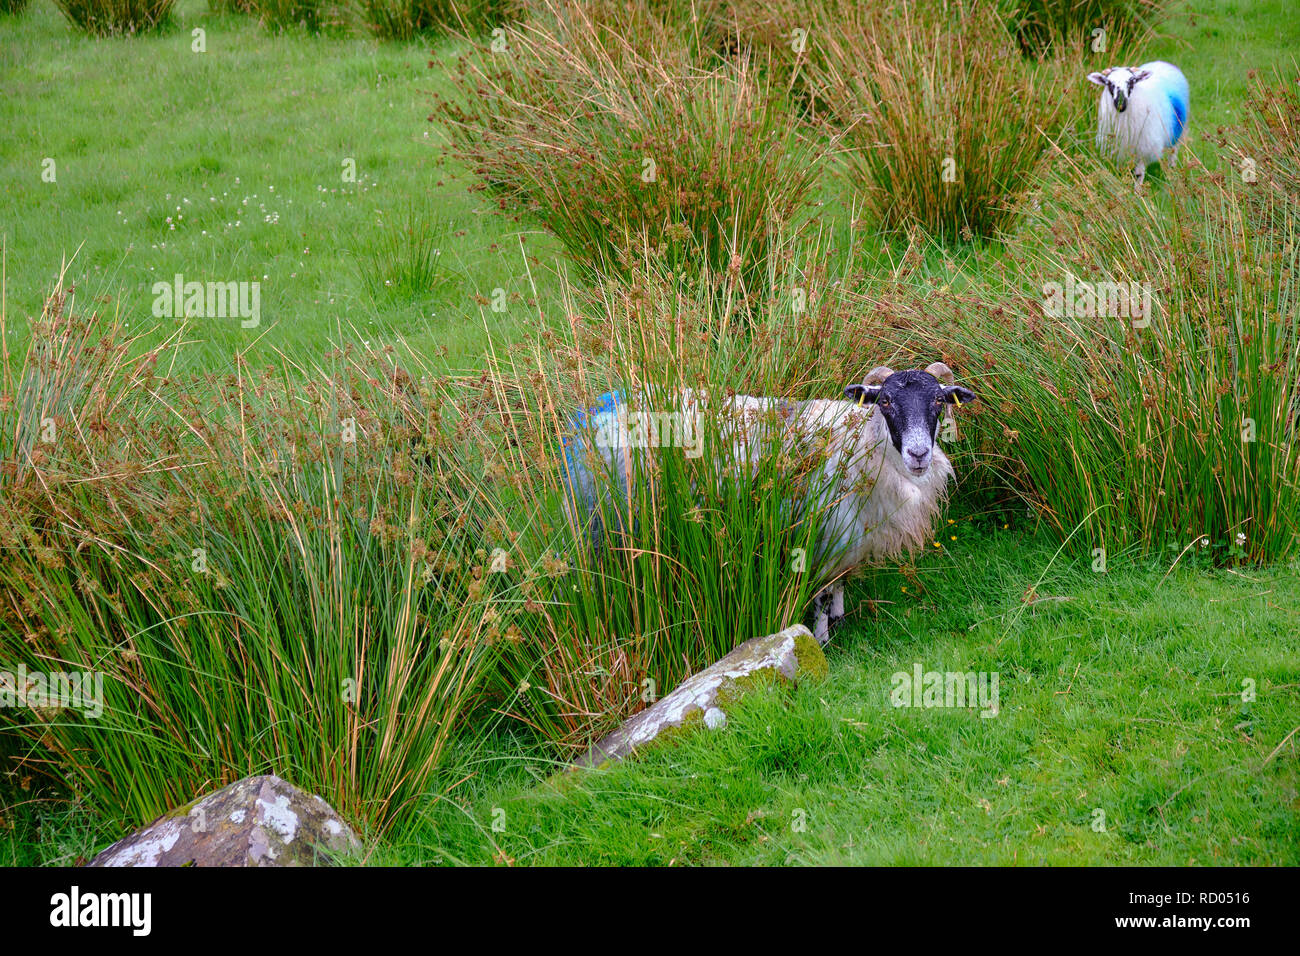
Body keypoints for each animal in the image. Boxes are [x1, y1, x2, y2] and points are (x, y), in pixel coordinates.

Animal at [1088, 61, 1189, 189]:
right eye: (1109, 83)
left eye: (1132, 81)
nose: (1121, 104)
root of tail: (1162, 63)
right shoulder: (1117, 149)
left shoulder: (1144, 148)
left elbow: (1139, 173)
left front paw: (1137, 191)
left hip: (1177, 129)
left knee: (1173, 152)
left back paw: (1171, 172)